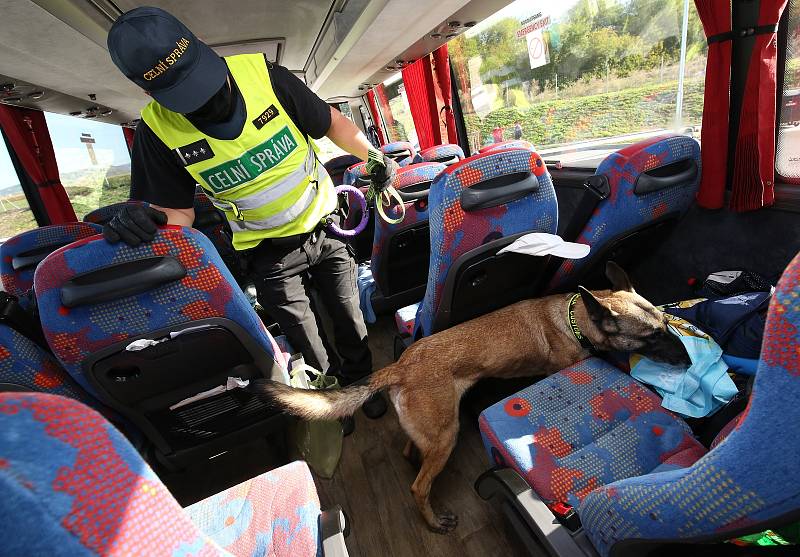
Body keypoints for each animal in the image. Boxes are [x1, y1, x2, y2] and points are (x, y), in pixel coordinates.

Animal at [250, 262, 688, 532]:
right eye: (652, 336)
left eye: (666, 324)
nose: (687, 358)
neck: (574, 316)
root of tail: (401, 365)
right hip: (447, 434)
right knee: (418, 487)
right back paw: (432, 520)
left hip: (435, 431)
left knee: (412, 452)